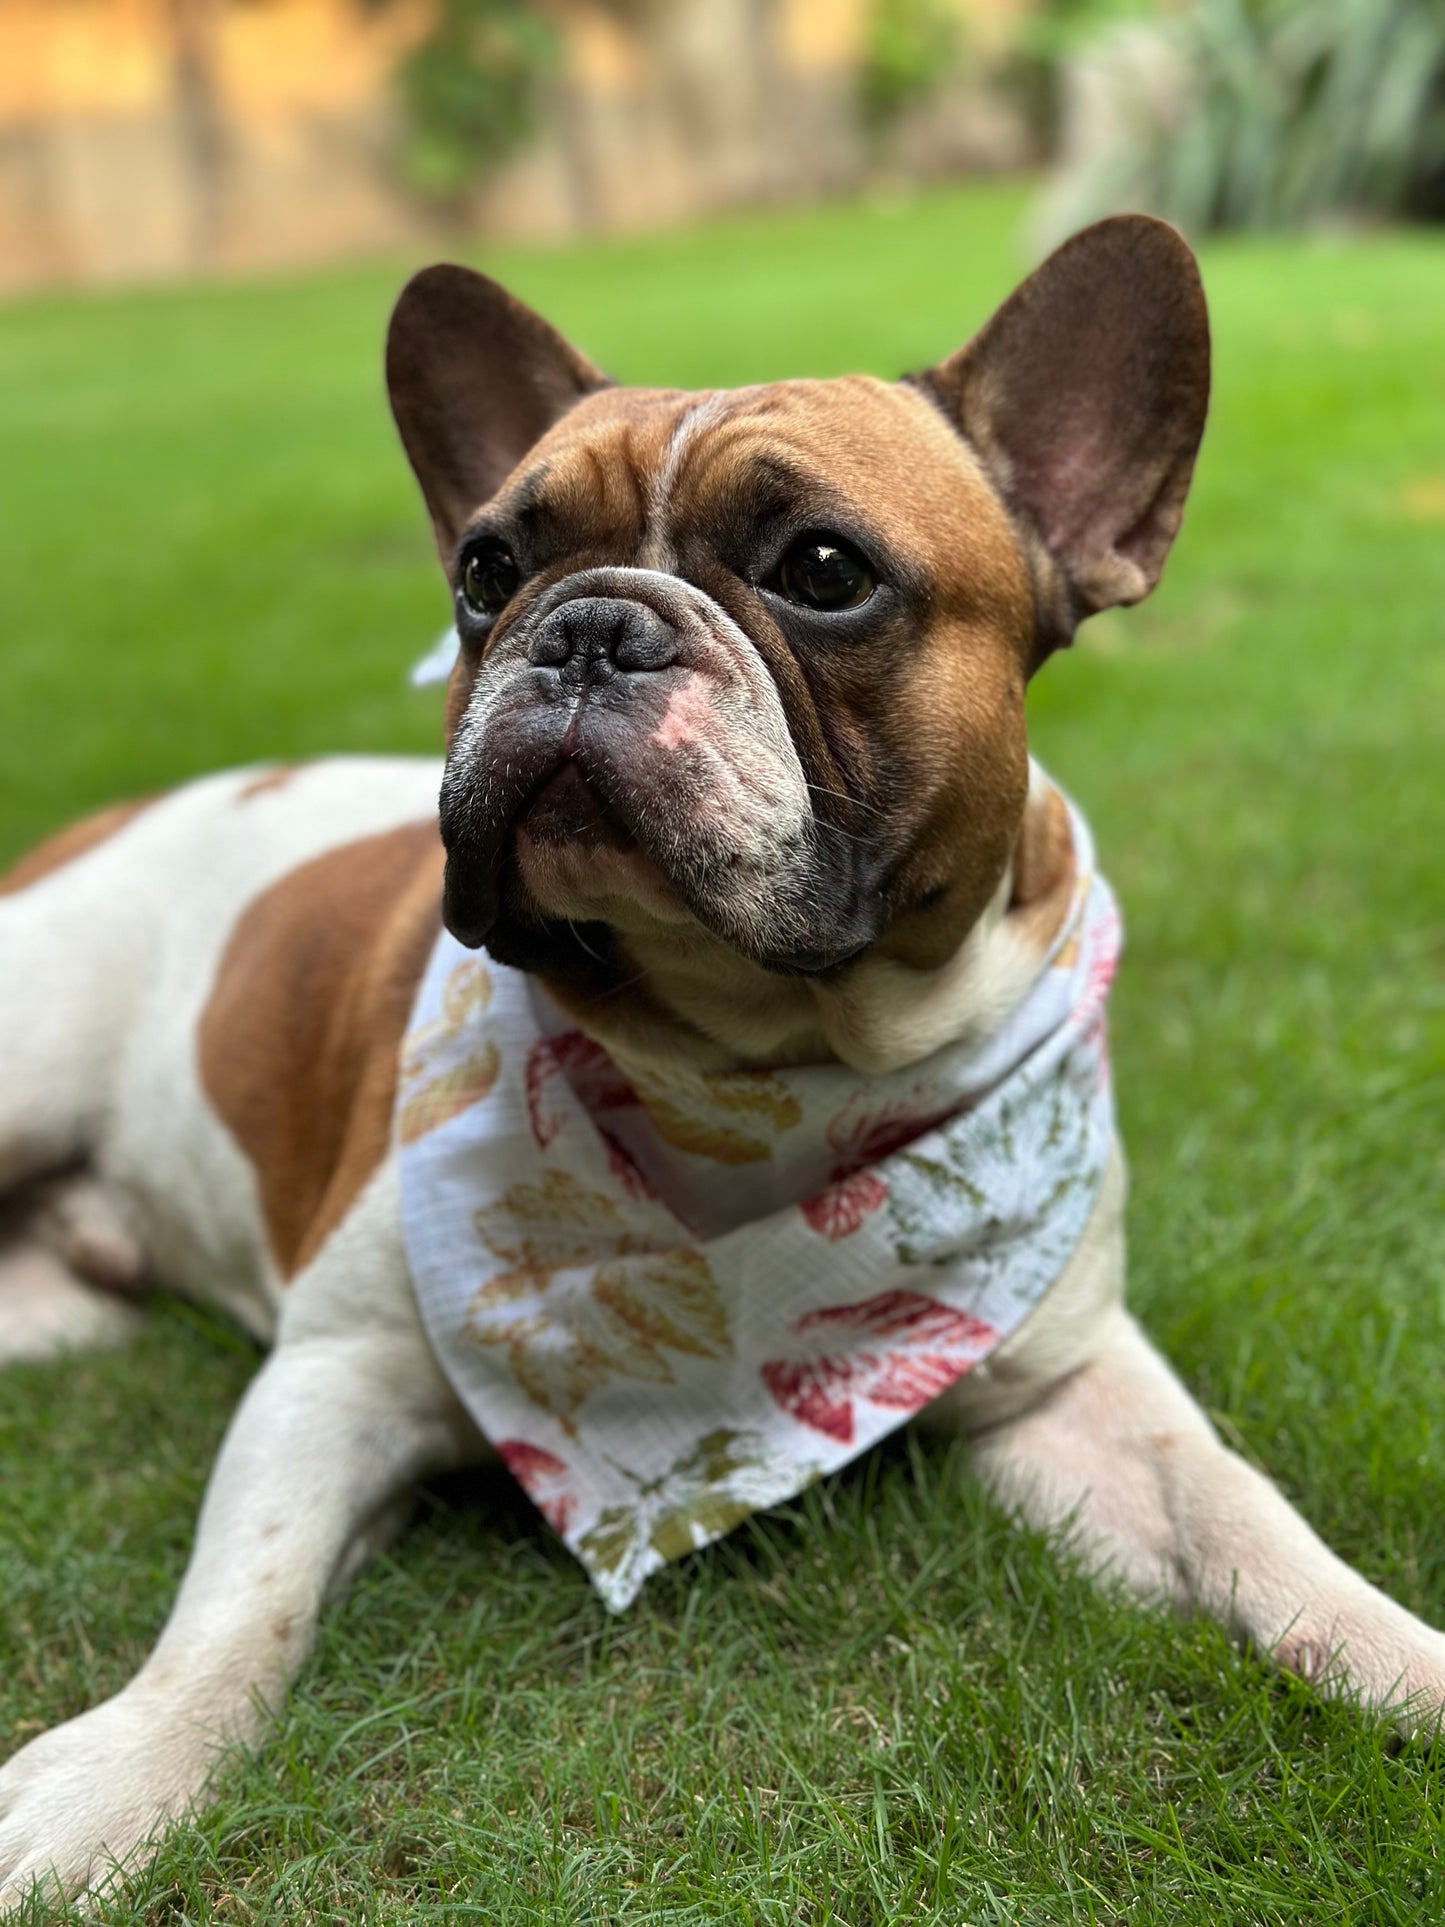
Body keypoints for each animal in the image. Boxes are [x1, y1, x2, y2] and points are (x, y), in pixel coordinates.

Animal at [2, 218, 1445, 1903]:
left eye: (822, 571)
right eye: (485, 571)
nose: (586, 624)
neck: (769, 1064)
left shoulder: (1067, 1382)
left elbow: (1236, 1508)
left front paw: (1402, 1656)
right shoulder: (331, 1373)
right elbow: (239, 1617)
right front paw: (103, 1786)